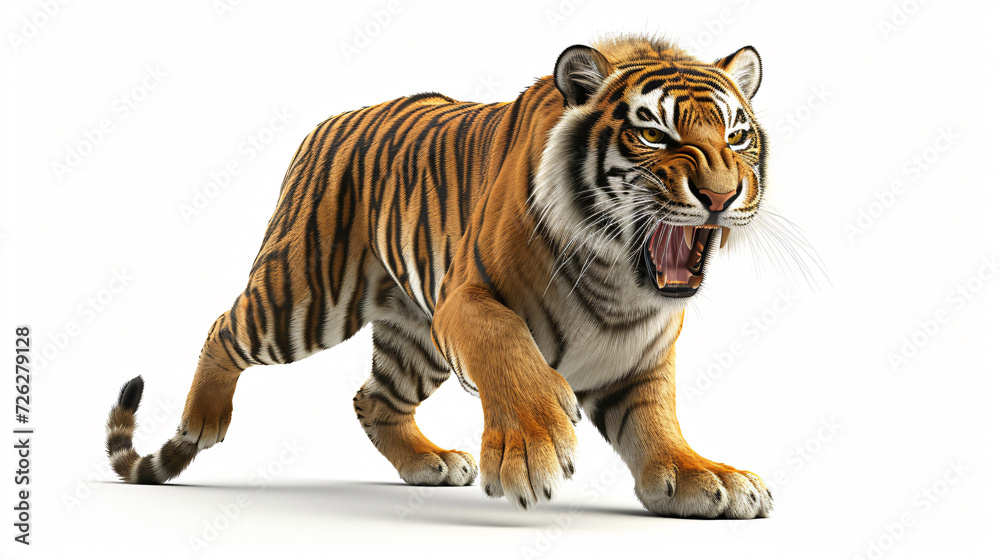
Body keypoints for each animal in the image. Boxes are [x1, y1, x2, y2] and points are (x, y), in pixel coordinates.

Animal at [105, 34, 774, 519]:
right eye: (654, 134)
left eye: (737, 135)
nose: (721, 195)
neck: (617, 279)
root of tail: (330, 122)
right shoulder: (466, 299)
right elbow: (509, 349)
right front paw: (532, 448)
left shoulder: (640, 353)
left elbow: (654, 419)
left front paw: (701, 478)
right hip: (303, 296)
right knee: (223, 327)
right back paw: (203, 421)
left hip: (413, 333)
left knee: (373, 398)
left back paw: (429, 463)